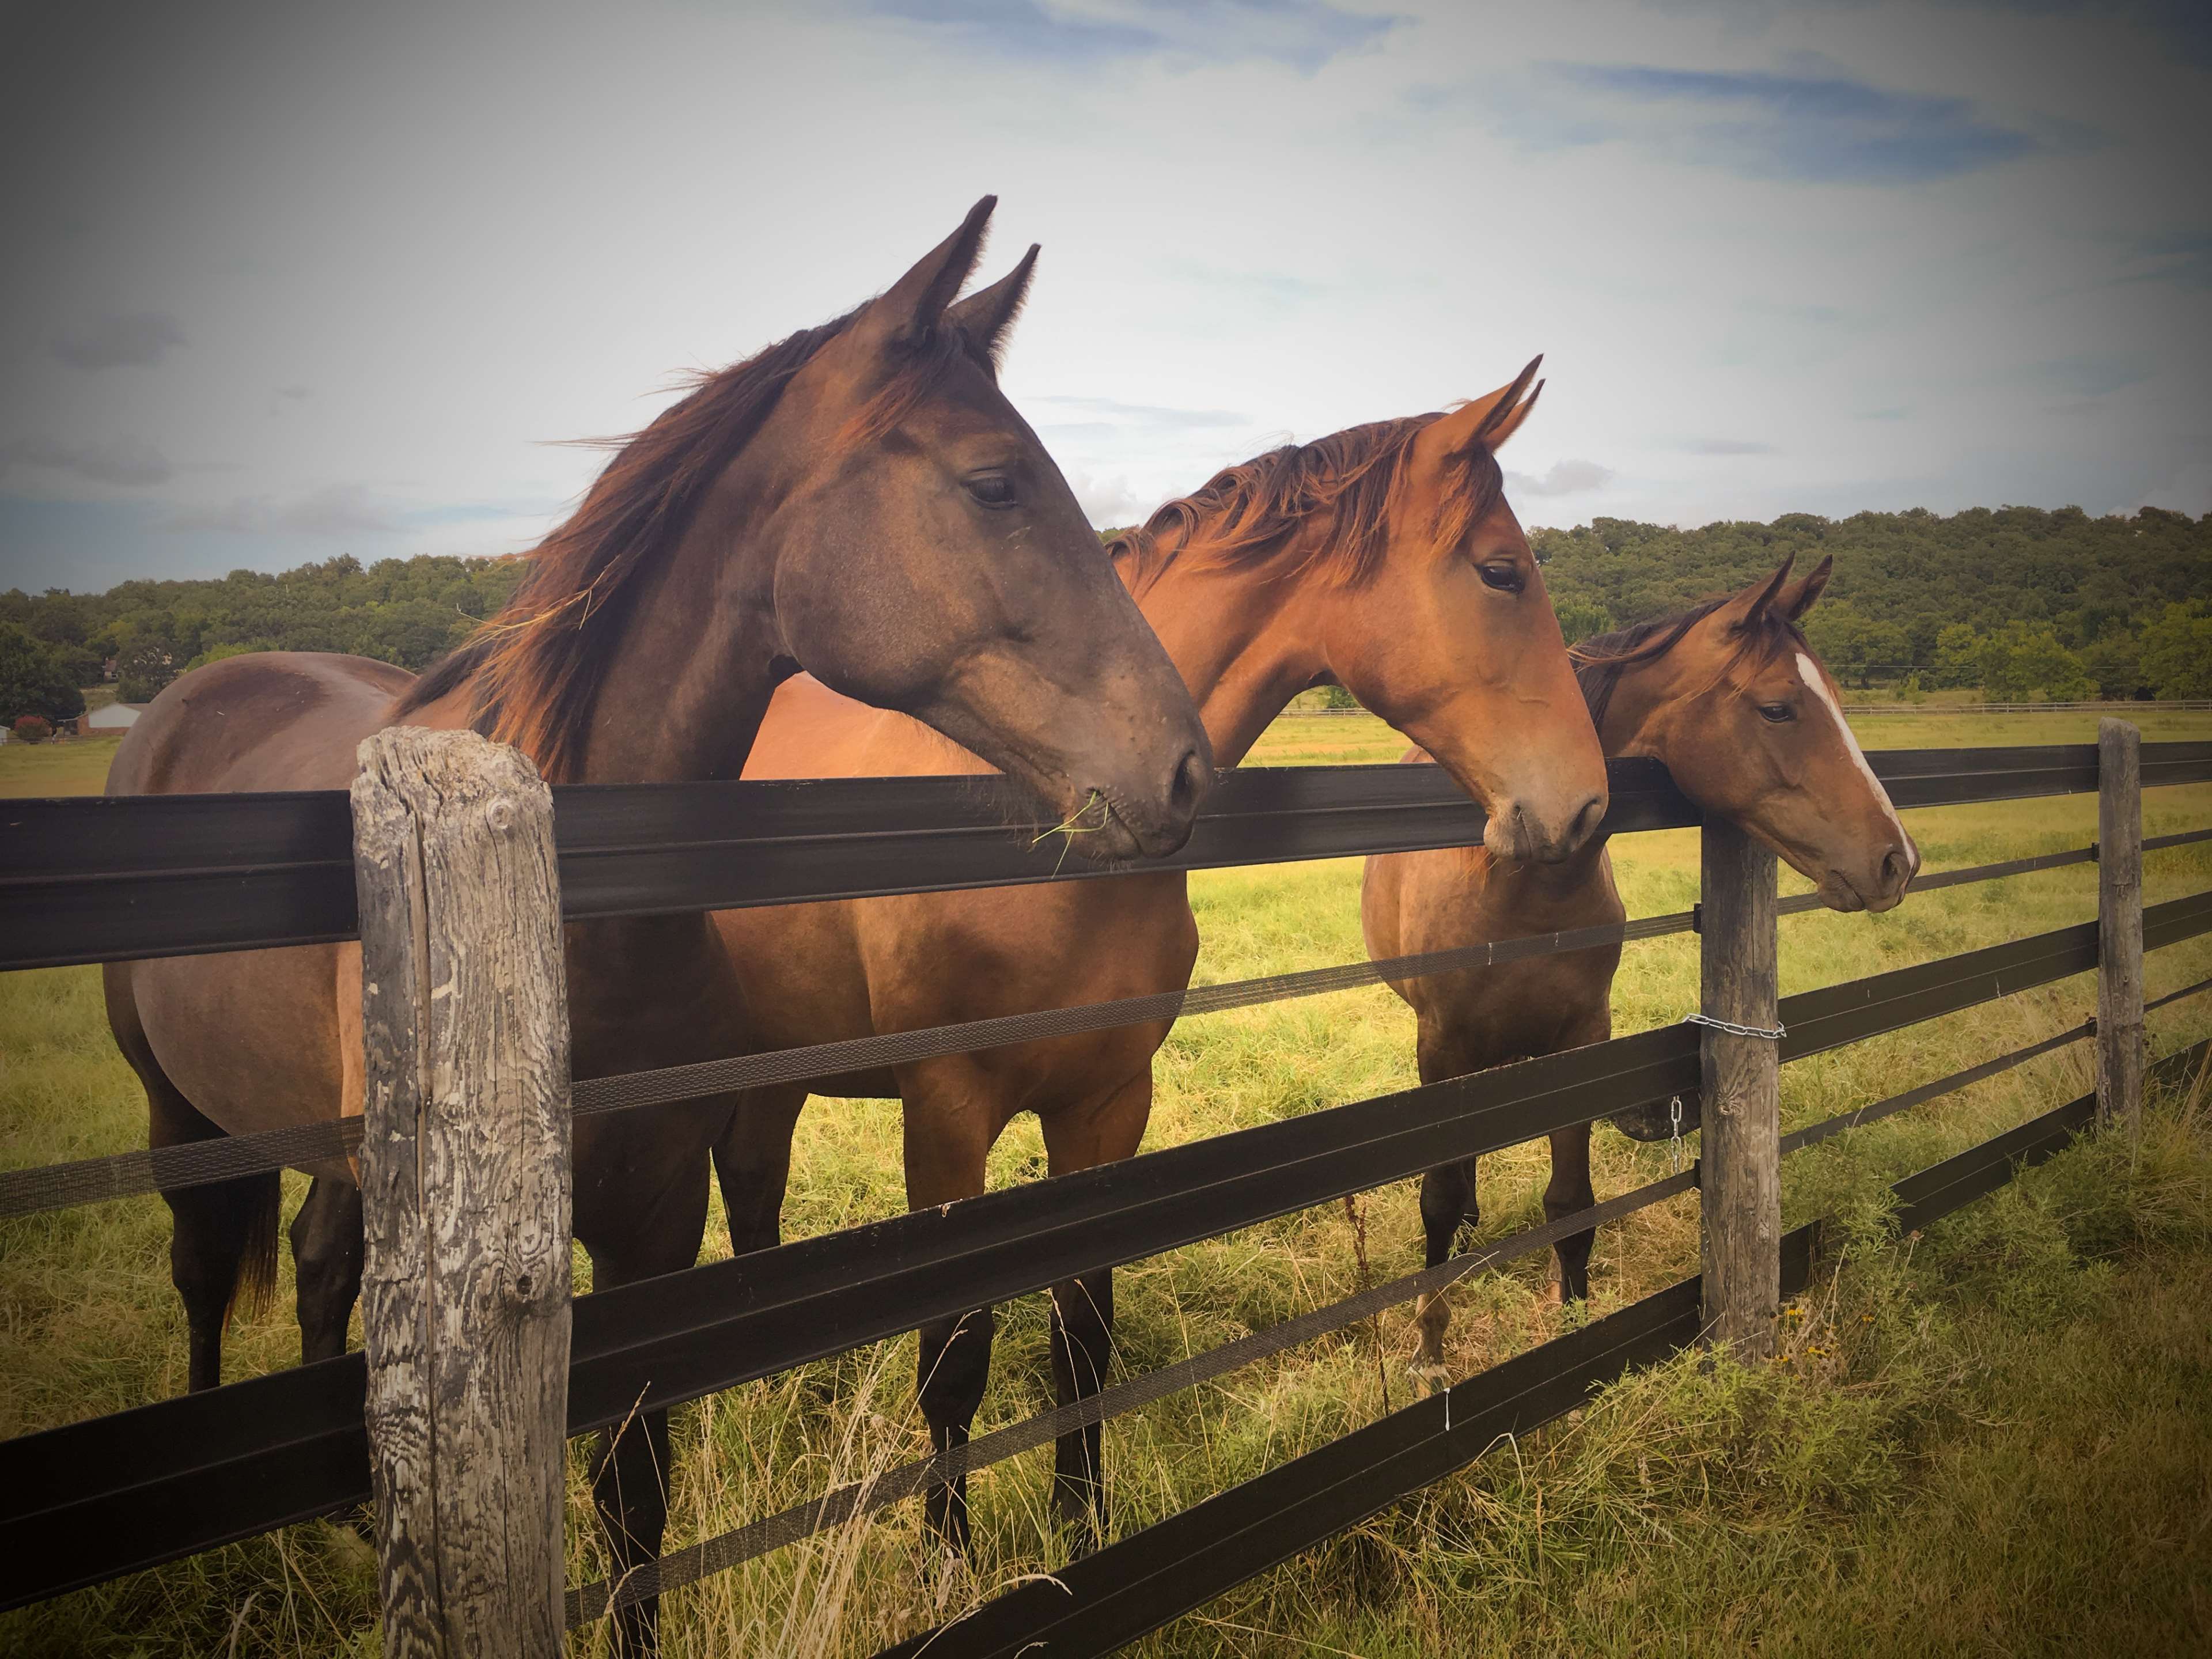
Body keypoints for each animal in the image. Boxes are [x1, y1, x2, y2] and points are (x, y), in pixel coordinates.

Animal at [104, 198, 1212, 1659]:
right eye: (994, 484)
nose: (1185, 770)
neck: (569, 918)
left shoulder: (654, 1216)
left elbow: (635, 1493)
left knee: (316, 1262)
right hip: (179, 1114)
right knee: (198, 1276)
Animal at [707, 362, 1610, 1557]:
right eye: (1500, 571)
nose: (1588, 805)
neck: (1048, 827)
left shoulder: (1108, 1102)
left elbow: (1082, 1336)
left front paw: (1081, 1528)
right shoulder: (945, 1114)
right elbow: (955, 1353)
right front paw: (950, 1556)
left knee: (753, 1194)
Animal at [1354, 559, 1911, 1380]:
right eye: (1778, 708)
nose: (1897, 860)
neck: (1514, 885)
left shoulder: (1583, 1040)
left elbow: (1570, 1204)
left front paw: (1575, 1329)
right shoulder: (1442, 1045)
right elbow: (1437, 1197)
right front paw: (1429, 1346)